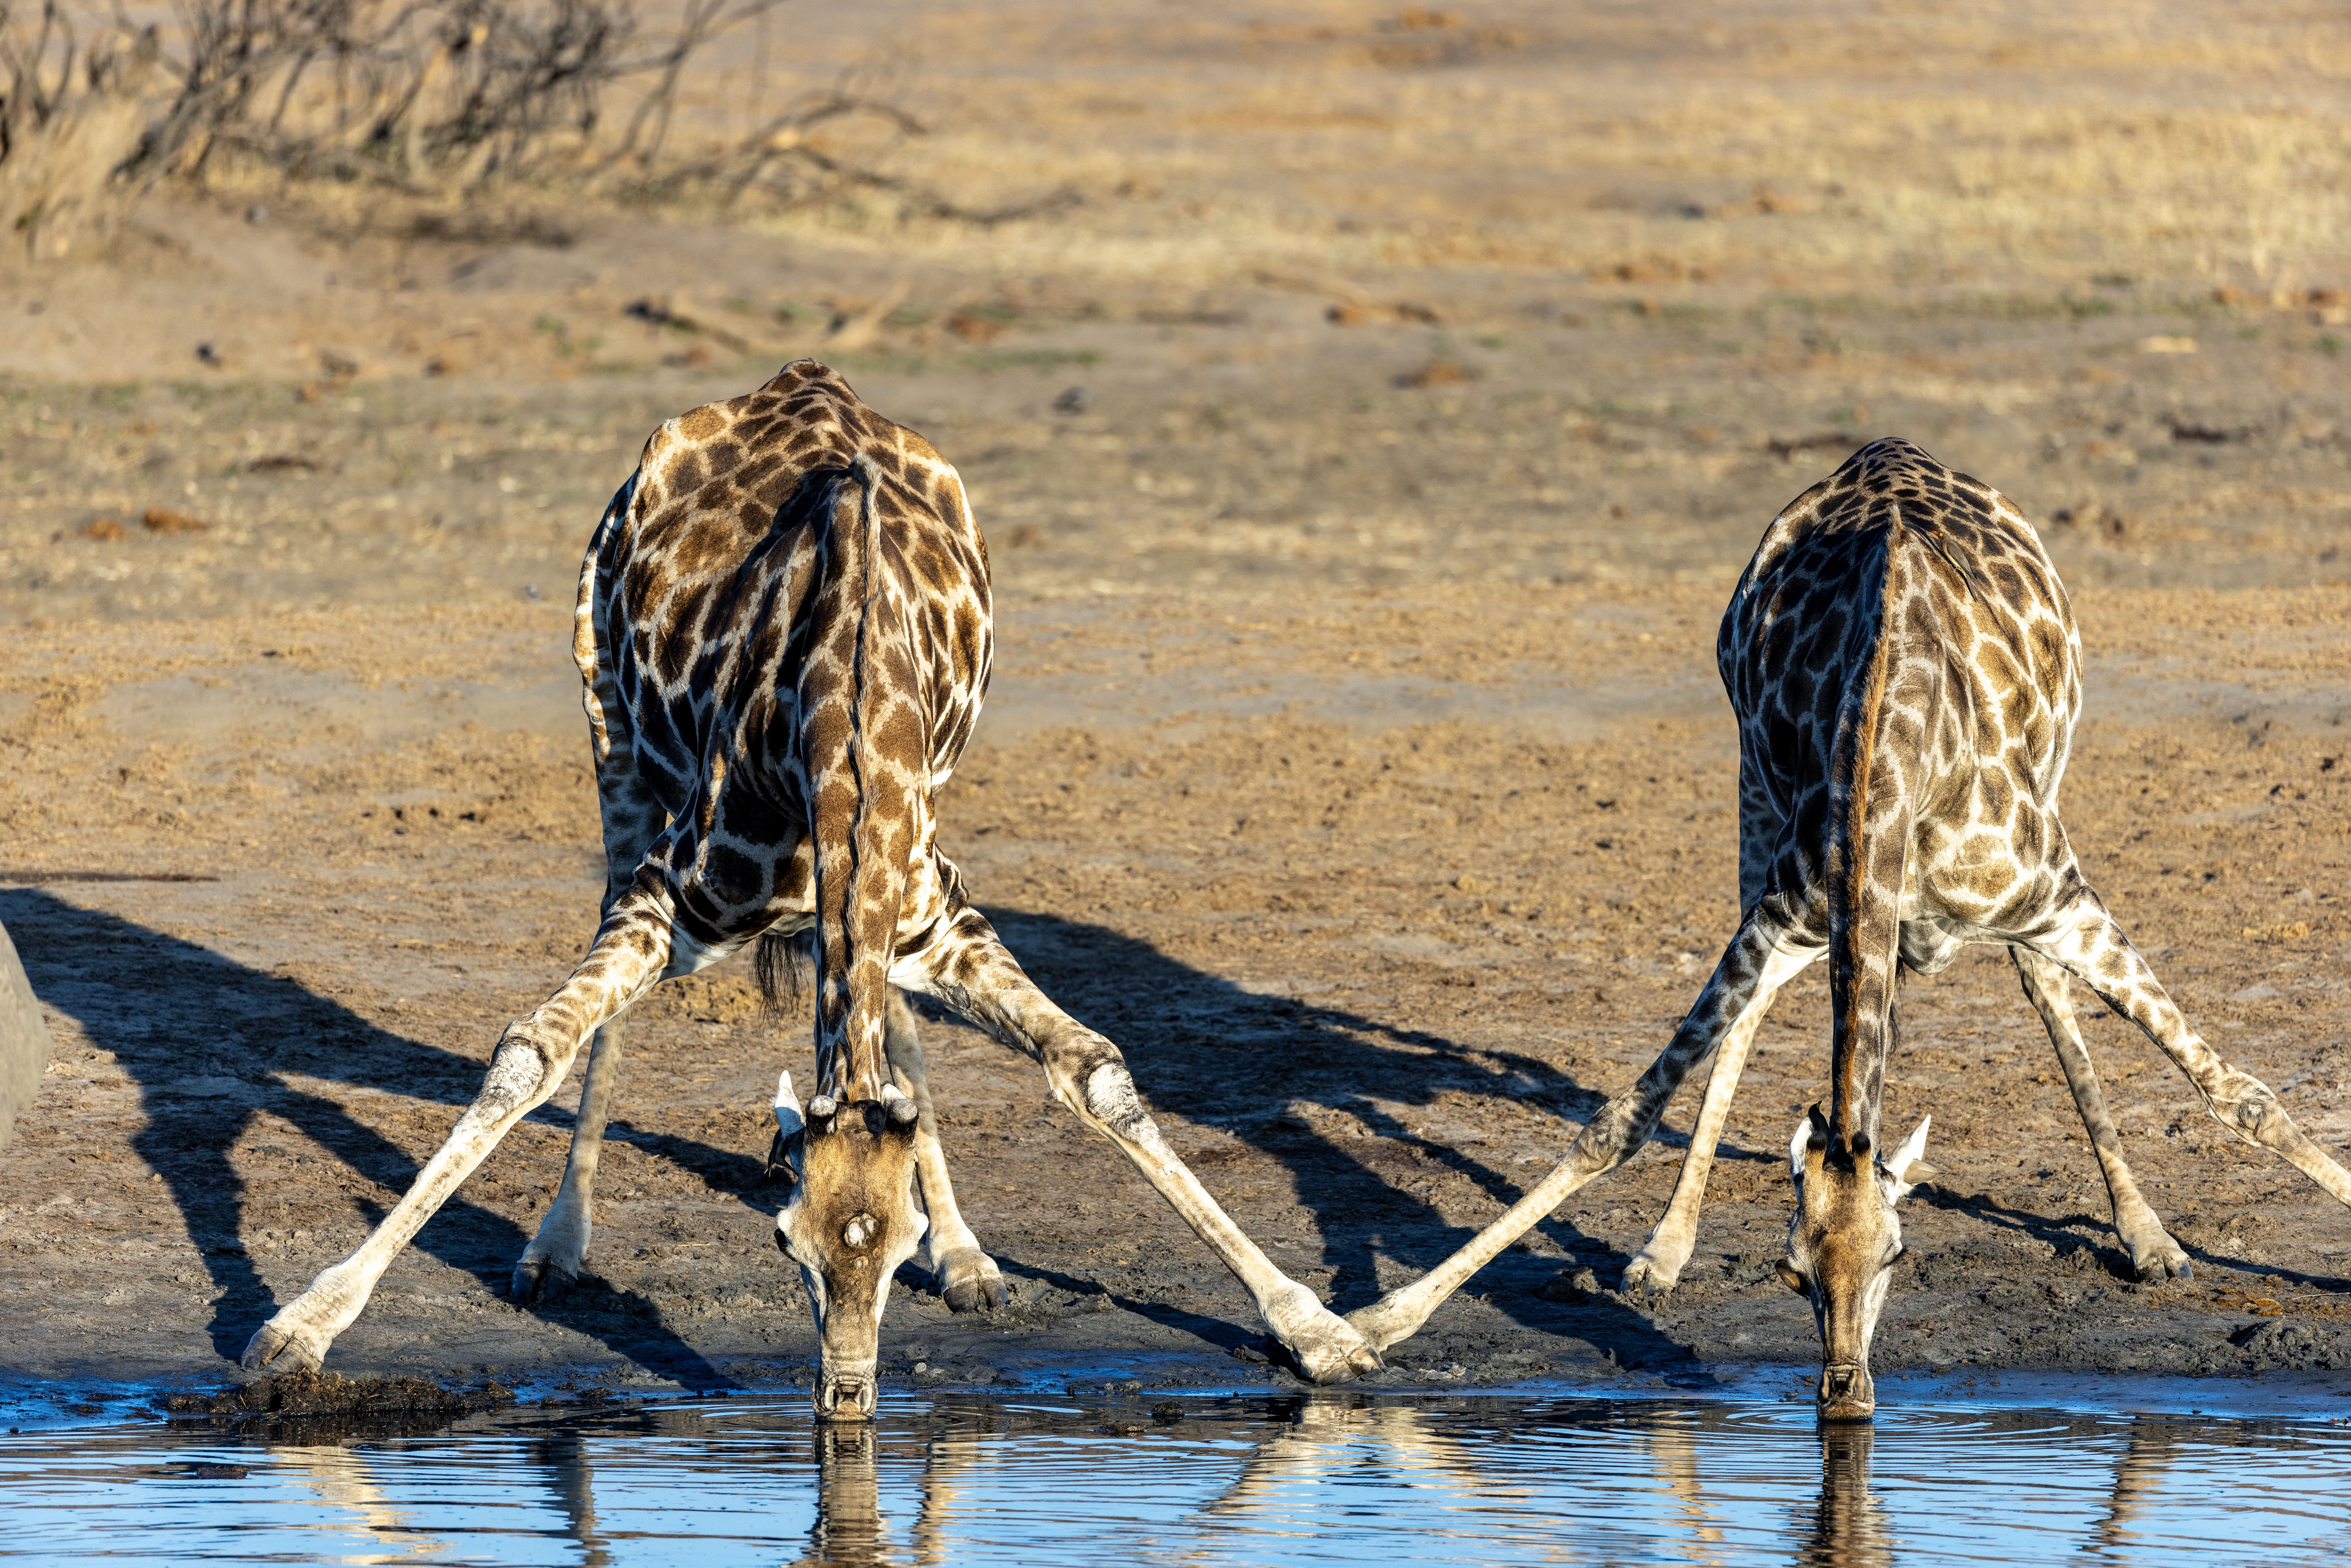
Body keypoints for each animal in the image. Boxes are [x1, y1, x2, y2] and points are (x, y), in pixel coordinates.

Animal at [240, 360, 1381, 1413]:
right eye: (785, 1241)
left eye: (893, 1244)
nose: (845, 1398)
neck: (842, 720)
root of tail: (800, 374)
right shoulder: (668, 894)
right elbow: (528, 1052)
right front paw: (299, 1327)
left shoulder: (940, 910)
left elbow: (1091, 1067)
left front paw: (1320, 1331)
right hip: (609, 729)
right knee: (619, 992)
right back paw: (557, 1246)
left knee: (896, 1027)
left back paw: (974, 1260)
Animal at [1338, 437, 2351, 1417]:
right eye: (1791, 1269)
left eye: (1900, 1255)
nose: (1845, 1397)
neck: (1898, 763)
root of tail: (1886, 450)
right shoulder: (1790, 913)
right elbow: (1618, 1122)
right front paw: (1368, 1327)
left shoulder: (2057, 896)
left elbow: (2240, 1096)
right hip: (1754, 792)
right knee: (1754, 1023)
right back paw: (1666, 1248)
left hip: (2048, 787)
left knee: (2042, 987)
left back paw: (2148, 1238)